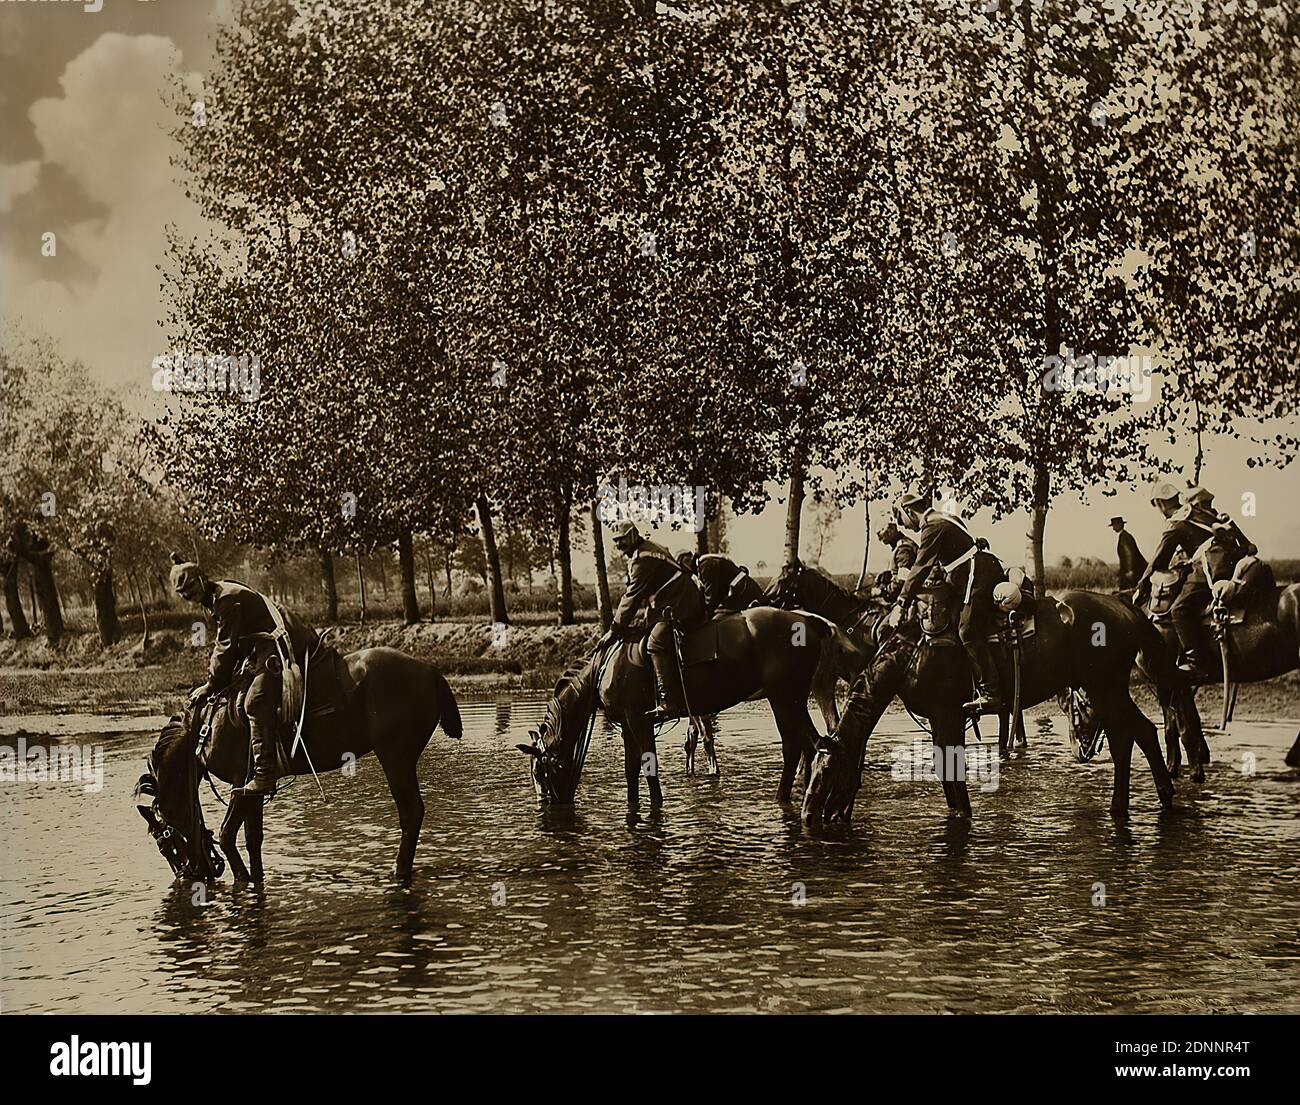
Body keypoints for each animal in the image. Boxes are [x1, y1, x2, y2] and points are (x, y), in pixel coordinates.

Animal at [135, 642, 462, 883]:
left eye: (166, 845)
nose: (190, 875)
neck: (206, 728)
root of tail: (430, 670)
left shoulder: (241, 784)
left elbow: (228, 835)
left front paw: (242, 880)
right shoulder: (254, 790)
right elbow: (253, 838)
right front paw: (257, 878)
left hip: (395, 757)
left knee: (410, 813)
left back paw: (399, 871)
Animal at [517, 603, 842, 811]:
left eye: (540, 772)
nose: (546, 805)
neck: (606, 667)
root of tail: (806, 621)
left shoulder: (639, 720)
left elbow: (649, 768)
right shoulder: (627, 726)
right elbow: (630, 771)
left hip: (784, 697)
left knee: (796, 746)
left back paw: (783, 798)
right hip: (791, 699)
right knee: (810, 744)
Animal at [800, 590, 1206, 821]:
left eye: (829, 771)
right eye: (812, 769)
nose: (806, 816)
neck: (913, 653)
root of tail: (1126, 608)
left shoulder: (948, 715)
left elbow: (950, 772)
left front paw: (962, 817)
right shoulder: (940, 720)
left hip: (1106, 688)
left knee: (1134, 735)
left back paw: (1150, 800)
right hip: (1107, 689)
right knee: (1133, 736)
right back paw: (1137, 802)